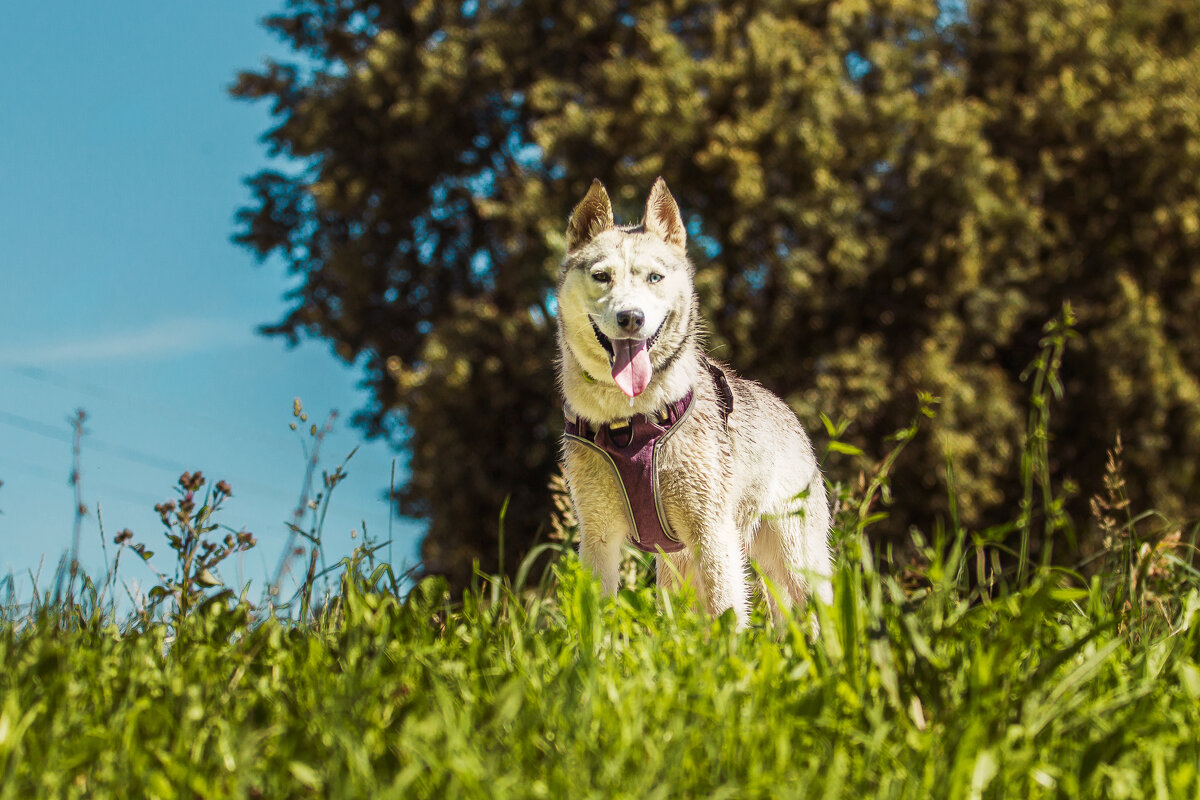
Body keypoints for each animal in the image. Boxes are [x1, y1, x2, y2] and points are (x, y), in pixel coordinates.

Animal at [554, 176, 830, 623]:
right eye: (601, 276)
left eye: (654, 277)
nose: (631, 318)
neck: (629, 423)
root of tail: (789, 414)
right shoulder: (598, 538)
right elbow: (595, 622)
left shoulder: (712, 534)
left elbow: (727, 616)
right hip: (680, 569)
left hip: (796, 561)